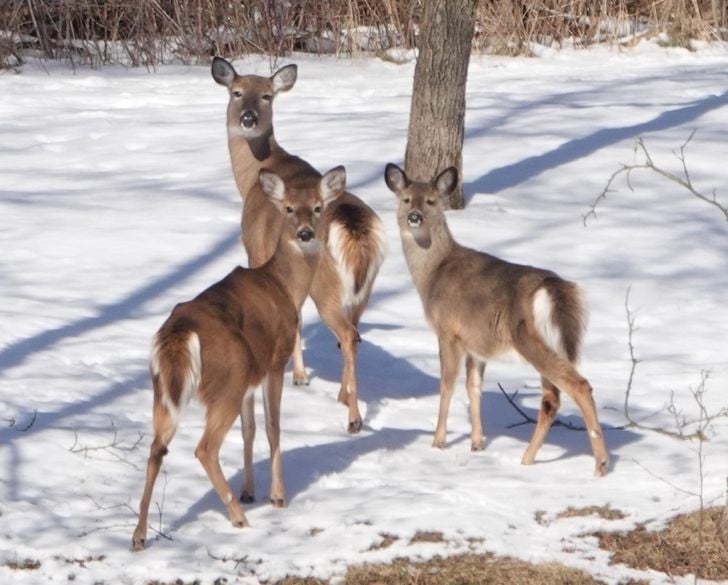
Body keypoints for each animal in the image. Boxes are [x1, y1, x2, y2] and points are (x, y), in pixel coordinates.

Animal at [130, 165, 344, 552]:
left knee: (156, 448)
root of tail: (180, 331)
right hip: (227, 378)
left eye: (319, 207)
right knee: (204, 448)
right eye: (289, 208)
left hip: (166, 390)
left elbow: (249, 430)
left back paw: (139, 536)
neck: (285, 286)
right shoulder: (274, 360)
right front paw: (276, 496)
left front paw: (249, 491)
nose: (305, 233)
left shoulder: (251, 378)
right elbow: (273, 428)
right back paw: (237, 517)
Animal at [210, 57, 386, 434]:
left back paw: (353, 419)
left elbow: (293, 315)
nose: (248, 118)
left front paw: (301, 376)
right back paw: (344, 396)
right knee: (354, 334)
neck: (255, 175)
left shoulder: (258, 249)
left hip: (325, 286)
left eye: (266, 95)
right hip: (363, 290)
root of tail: (354, 225)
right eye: (236, 92)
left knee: (347, 334)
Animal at [384, 163, 612, 474]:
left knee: (578, 386)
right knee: (551, 398)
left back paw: (600, 464)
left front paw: (438, 441)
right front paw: (477, 443)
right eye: (406, 199)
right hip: (558, 342)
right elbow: (474, 387)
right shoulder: (475, 344)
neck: (433, 274)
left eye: (431, 201)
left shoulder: (448, 331)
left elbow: (447, 385)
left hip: (529, 339)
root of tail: (554, 289)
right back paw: (527, 458)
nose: (414, 216)